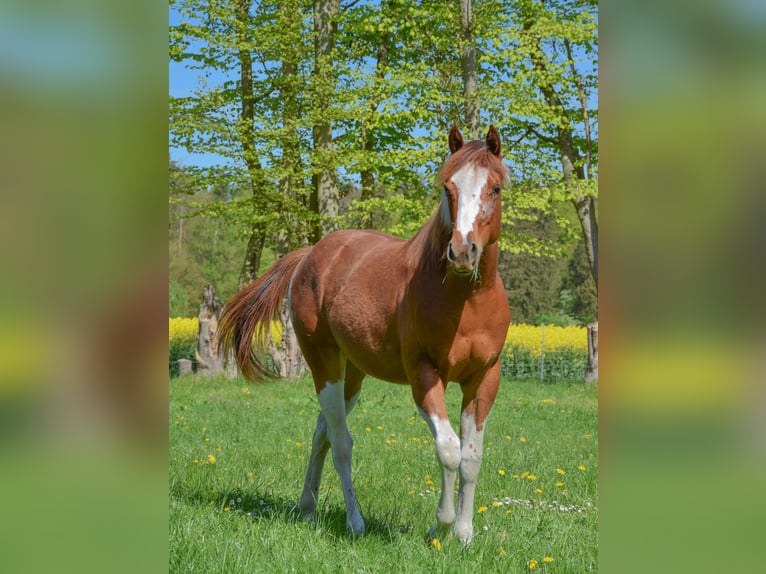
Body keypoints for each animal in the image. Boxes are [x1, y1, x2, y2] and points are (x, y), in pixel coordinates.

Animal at [218, 125, 511, 545]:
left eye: (495, 188)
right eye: (447, 188)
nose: (462, 252)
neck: (465, 300)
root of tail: (310, 255)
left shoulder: (484, 379)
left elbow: (471, 457)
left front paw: (465, 534)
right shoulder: (424, 376)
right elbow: (448, 449)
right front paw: (439, 526)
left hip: (352, 374)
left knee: (322, 432)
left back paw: (307, 508)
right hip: (324, 365)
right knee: (342, 442)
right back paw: (355, 522)